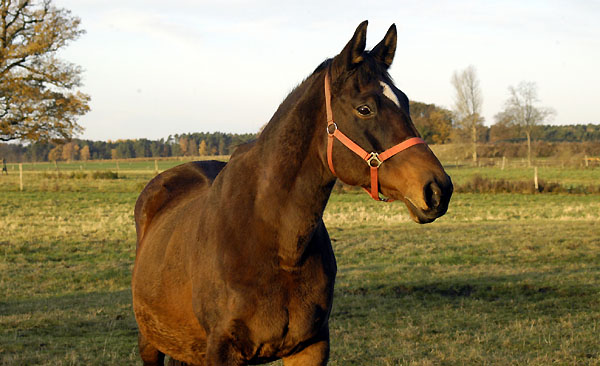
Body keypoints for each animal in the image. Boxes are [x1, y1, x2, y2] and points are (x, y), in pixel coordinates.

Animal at [131, 20, 450, 366]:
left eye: (405, 102)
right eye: (365, 108)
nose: (438, 189)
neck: (278, 246)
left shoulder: (310, 347)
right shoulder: (222, 352)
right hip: (151, 341)